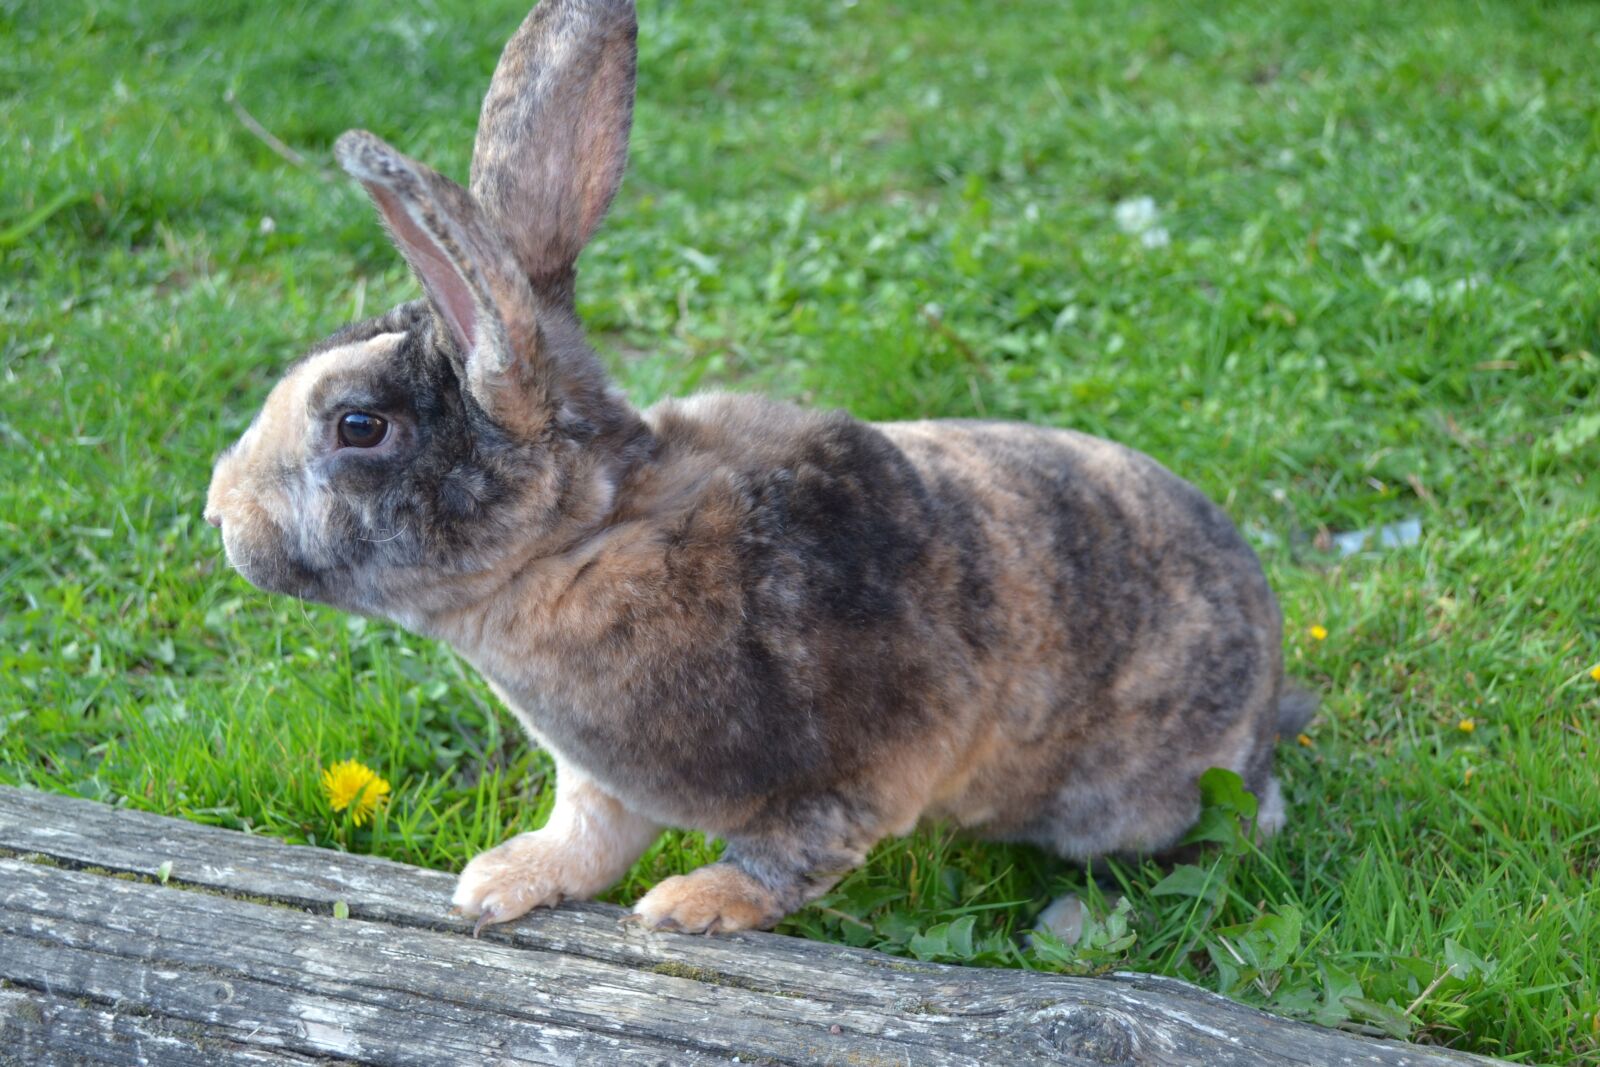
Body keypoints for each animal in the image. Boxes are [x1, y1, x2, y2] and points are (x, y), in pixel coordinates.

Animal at [204, 0, 1310, 937]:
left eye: (359, 426)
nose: (219, 510)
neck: (581, 542)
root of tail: (1267, 687)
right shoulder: (603, 779)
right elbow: (588, 834)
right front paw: (500, 882)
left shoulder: (878, 757)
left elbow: (795, 852)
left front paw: (691, 904)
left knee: (1234, 833)